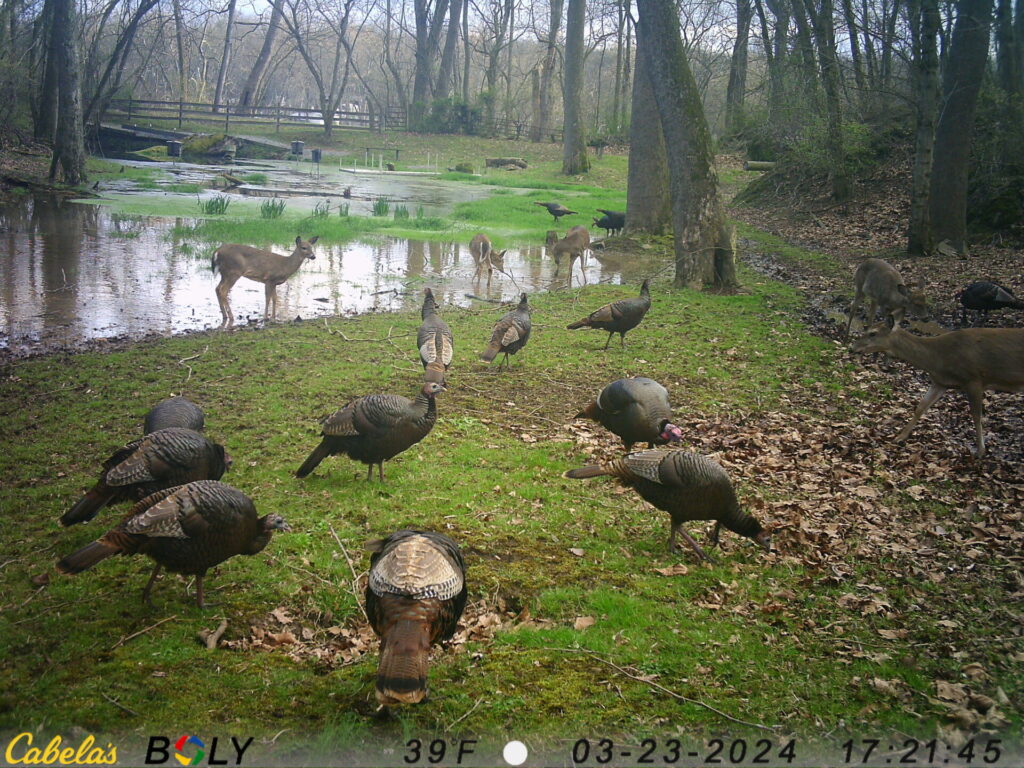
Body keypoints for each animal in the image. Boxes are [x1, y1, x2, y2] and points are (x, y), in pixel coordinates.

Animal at [851, 323, 1024, 457]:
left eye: (872, 333)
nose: (853, 347)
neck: (938, 358)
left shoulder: (974, 379)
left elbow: (976, 416)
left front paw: (980, 451)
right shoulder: (940, 382)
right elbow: (921, 407)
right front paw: (900, 437)